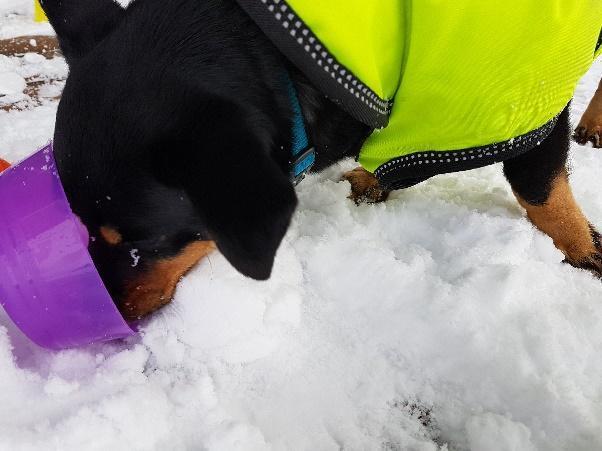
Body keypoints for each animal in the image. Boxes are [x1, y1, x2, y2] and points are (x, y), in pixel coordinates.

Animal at [37, 0, 600, 322]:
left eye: (144, 244)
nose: (116, 316)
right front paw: (376, 180)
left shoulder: (526, 94)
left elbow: (540, 186)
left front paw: (581, 250)